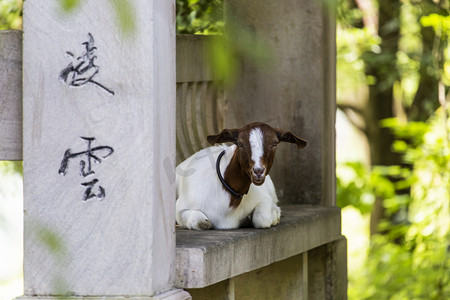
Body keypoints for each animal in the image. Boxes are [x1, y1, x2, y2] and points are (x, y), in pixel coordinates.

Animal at [175, 122, 306, 230]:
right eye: (240, 143)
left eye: (274, 143)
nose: (258, 171)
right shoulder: (181, 209)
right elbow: (202, 222)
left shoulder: (264, 198)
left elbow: (261, 218)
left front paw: (275, 214)